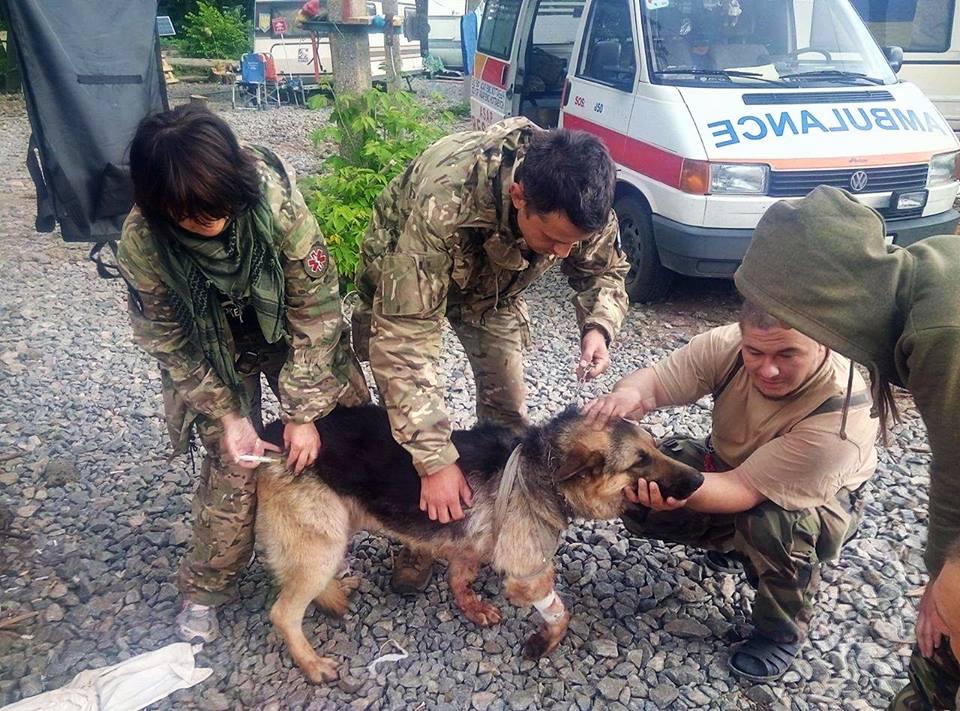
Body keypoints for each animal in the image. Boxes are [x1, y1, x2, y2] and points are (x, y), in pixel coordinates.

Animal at [255, 406, 704, 684]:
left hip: (334, 531)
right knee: (282, 612)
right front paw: (544, 642)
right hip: (322, 543)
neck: (541, 465)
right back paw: (312, 664)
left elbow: (460, 577)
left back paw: (334, 590)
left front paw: (470, 608)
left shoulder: (471, 544)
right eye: (639, 462)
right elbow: (562, 613)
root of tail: (273, 434)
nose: (701, 479)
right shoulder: (528, 575)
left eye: (656, 448)